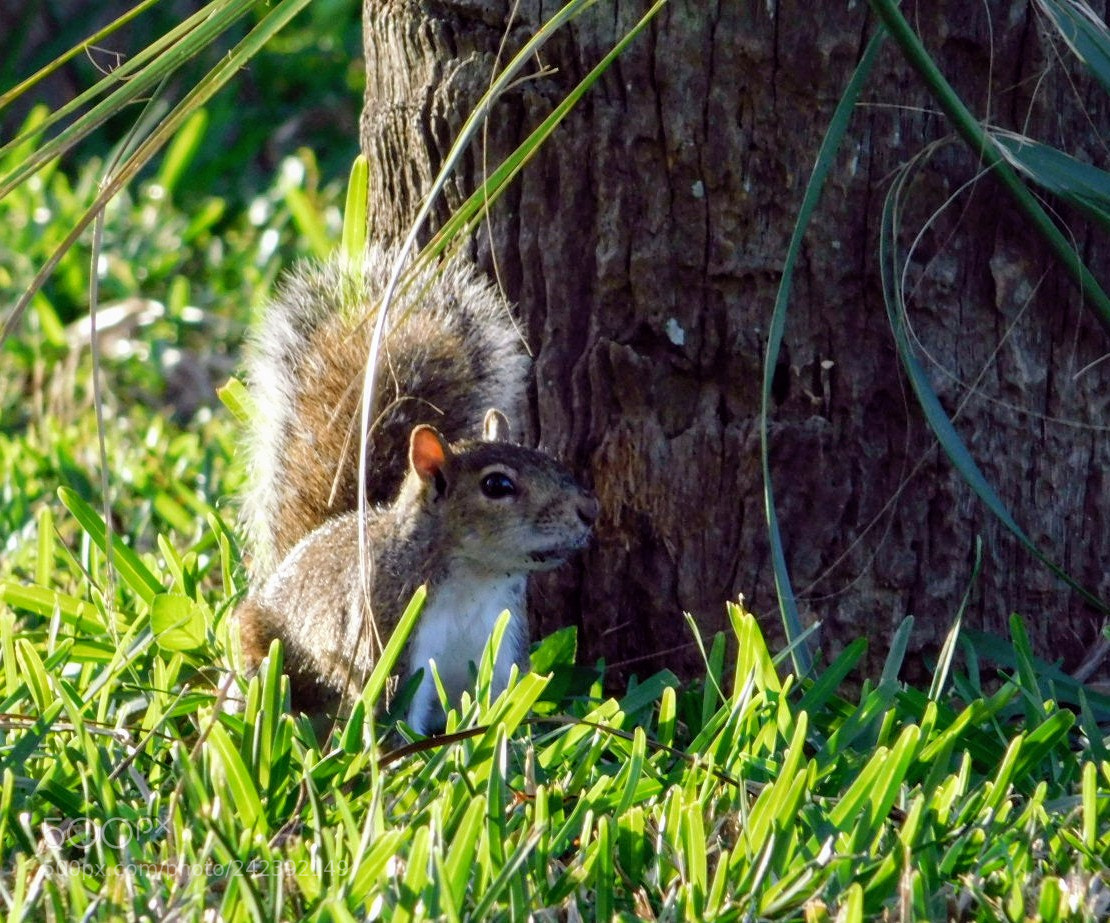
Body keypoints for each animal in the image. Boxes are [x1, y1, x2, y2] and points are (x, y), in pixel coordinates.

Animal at [235, 245, 598, 734]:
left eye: (548, 458)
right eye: (497, 485)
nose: (589, 510)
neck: (474, 579)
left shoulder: (503, 648)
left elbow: (501, 712)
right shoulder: (390, 640)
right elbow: (393, 721)